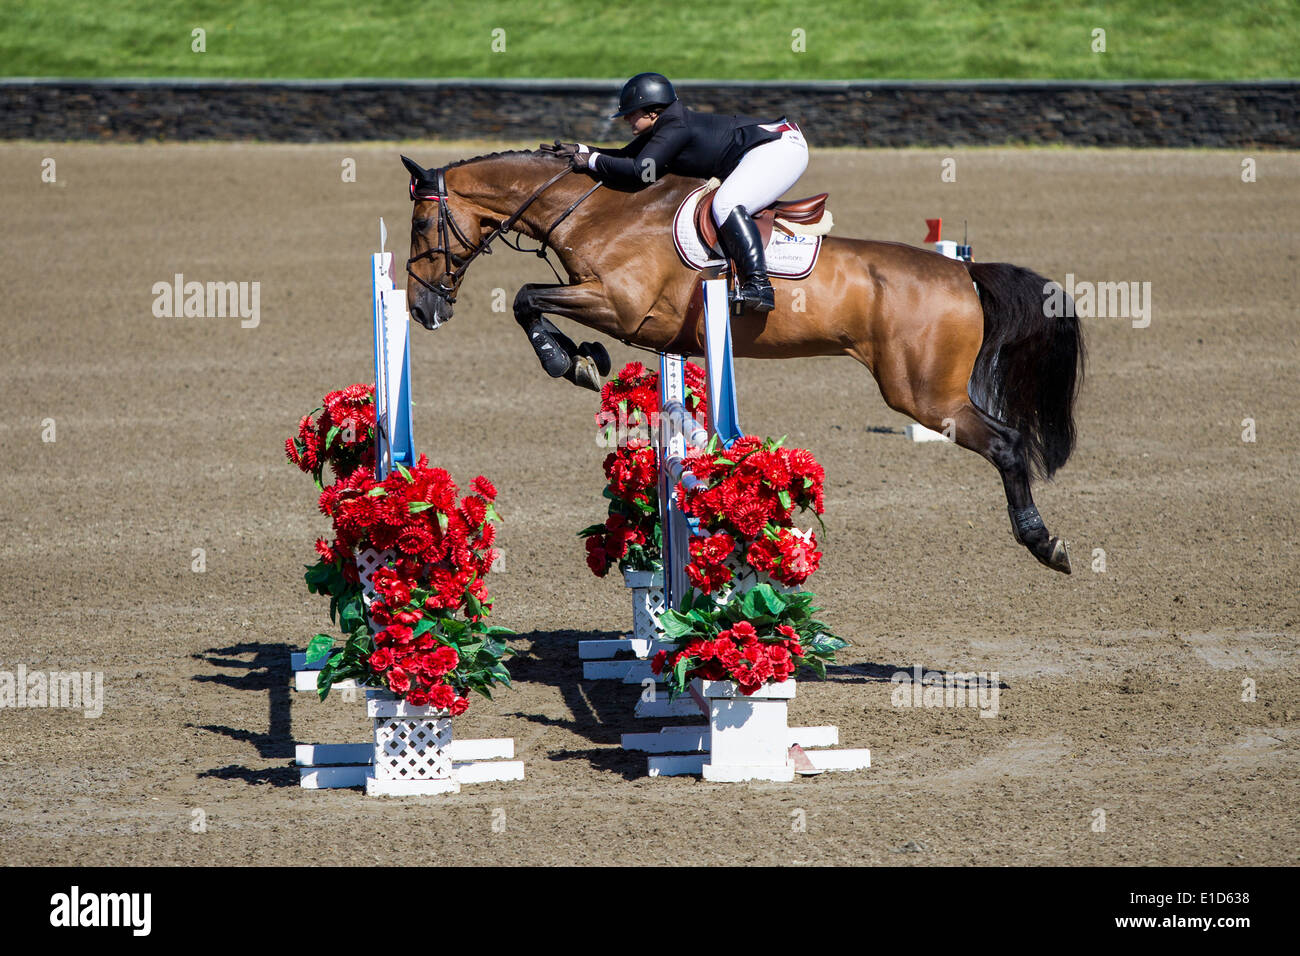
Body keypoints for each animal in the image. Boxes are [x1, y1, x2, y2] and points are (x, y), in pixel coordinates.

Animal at [403, 145, 1086, 572]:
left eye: (420, 228)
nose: (419, 307)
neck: (600, 208)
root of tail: (965, 274)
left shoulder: (619, 305)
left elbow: (525, 297)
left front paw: (567, 359)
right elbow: (534, 302)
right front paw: (583, 357)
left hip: (924, 394)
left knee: (1006, 443)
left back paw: (1043, 543)